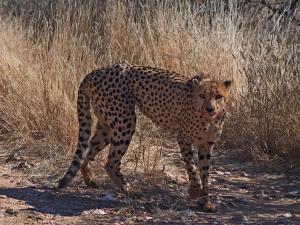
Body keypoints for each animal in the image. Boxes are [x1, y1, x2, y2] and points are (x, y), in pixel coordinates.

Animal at [58, 62, 232, 213]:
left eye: (218, 96)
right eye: (202, 95)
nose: (210, 109)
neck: (208, 120)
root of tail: (95, 71)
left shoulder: (206, 145)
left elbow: (205, 174)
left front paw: (206, 203)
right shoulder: (183, 139)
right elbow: (192, 168)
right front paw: (195, 191)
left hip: (106, 125)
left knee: (88, 152)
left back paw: (90, 180)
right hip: (125, 120)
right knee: (111, 163)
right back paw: (130, 191)